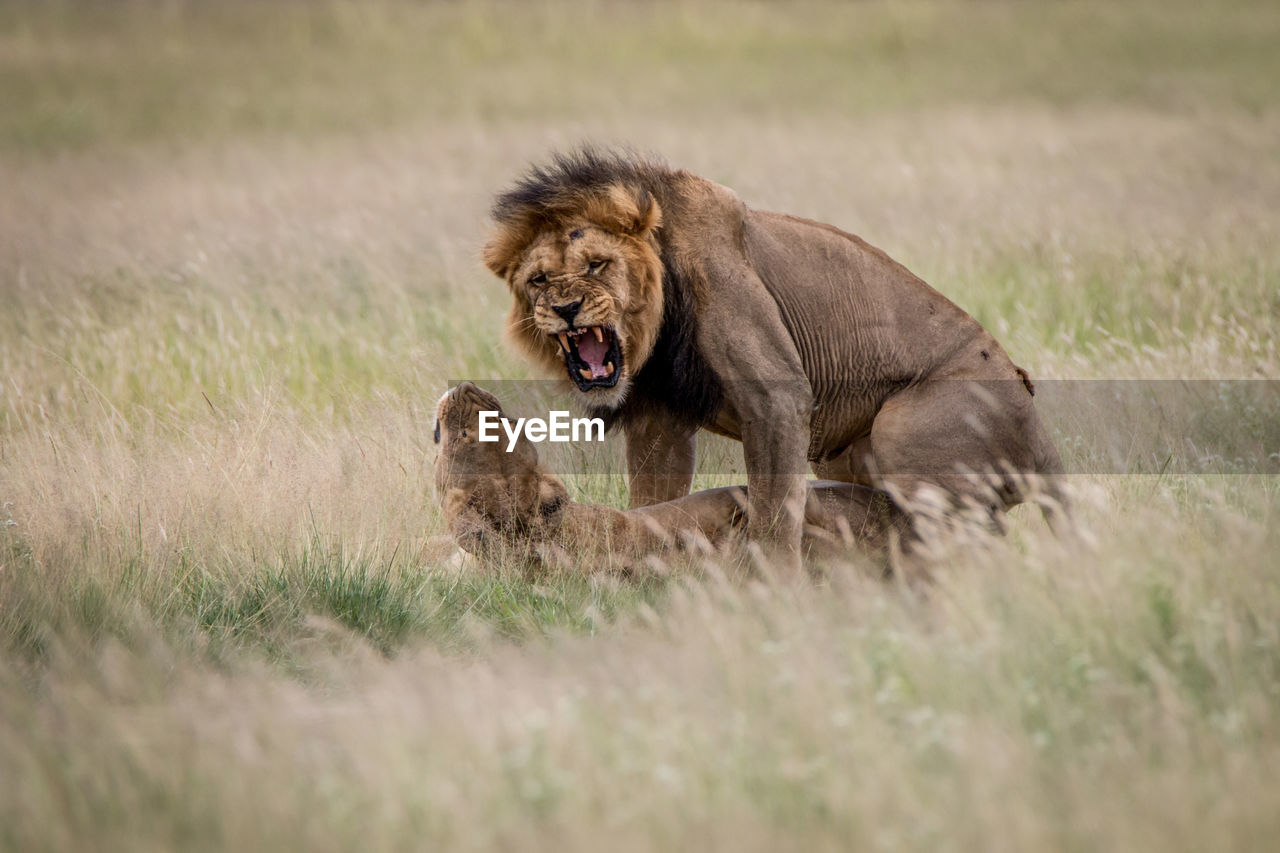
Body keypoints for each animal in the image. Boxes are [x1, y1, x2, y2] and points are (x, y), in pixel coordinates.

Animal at [483, 147, 1064, 558]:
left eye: (597, 265)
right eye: (538, 280)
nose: (566, 308)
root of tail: (1042, 437)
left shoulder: (777, 399)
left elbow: (775, 515)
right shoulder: (658, 419)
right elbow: (653, 500)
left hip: (903, 428)